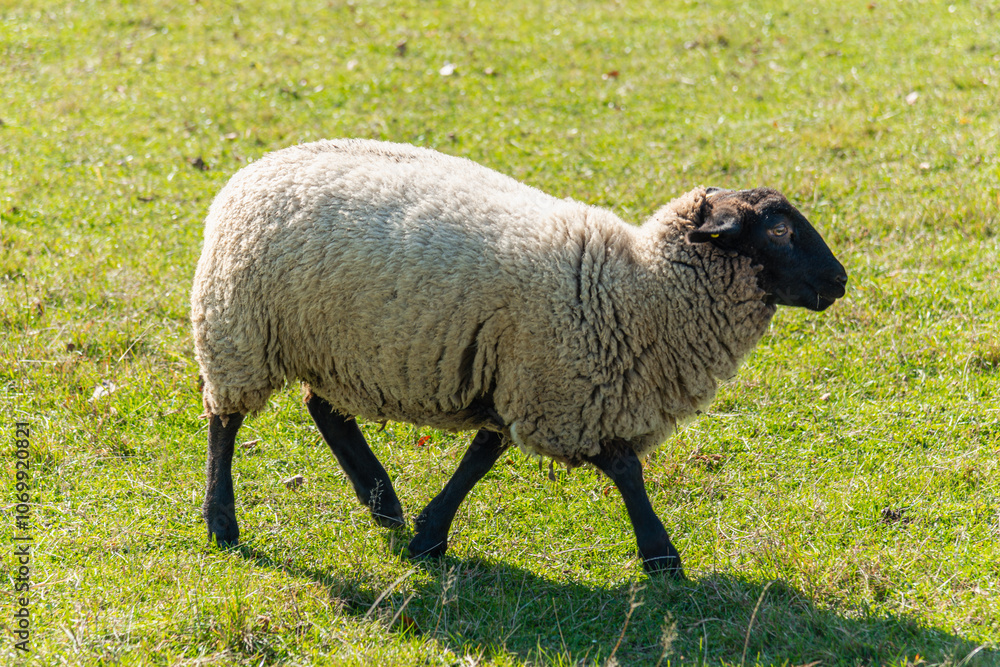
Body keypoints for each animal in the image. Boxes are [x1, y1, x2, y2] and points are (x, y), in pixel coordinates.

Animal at [191, 138, 847, 577]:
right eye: (780, 231)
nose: (840, 280)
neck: (637, 290)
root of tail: (257, 167)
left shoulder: (528, 381)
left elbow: (482, 456)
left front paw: (428, 533)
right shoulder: (562, 391)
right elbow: (623, 470)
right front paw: (662, 556)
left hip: (335, 348)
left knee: (324, 410)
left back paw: (383, 503)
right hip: (238, 331)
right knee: (226, 420)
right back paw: (222, 522)